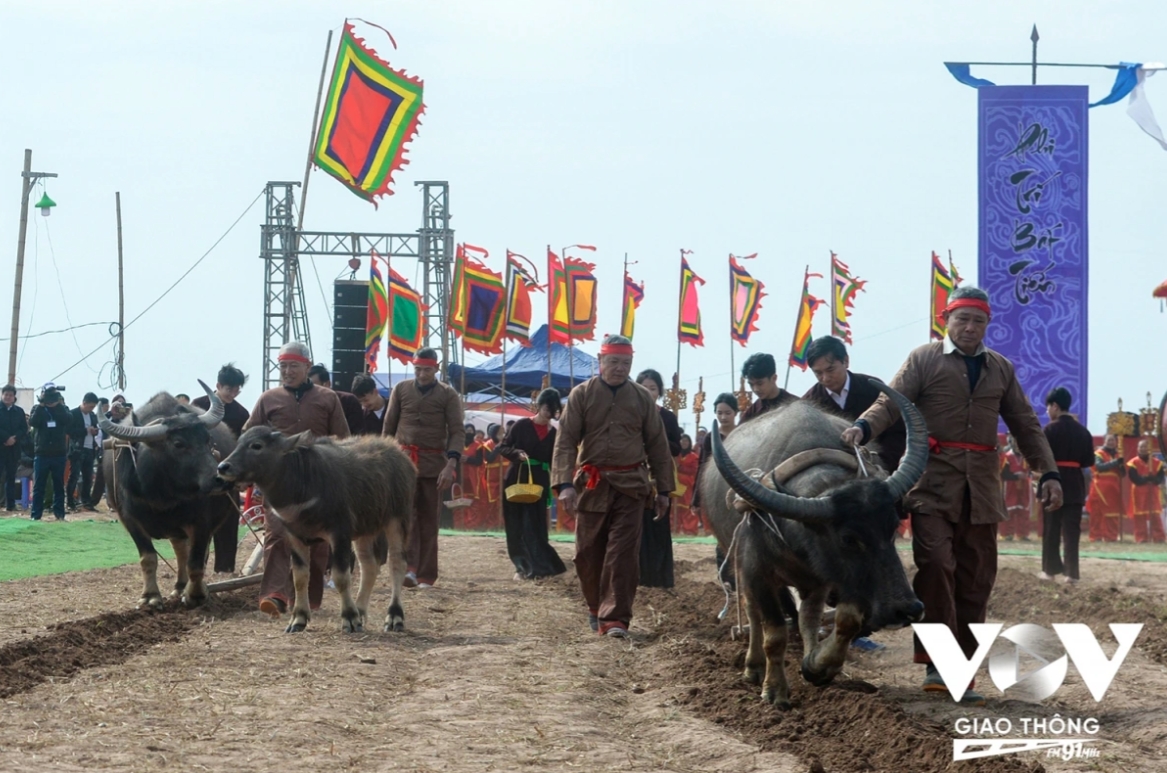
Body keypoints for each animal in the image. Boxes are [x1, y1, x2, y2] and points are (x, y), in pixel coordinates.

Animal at [101, 380, 238, 611]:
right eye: (178, 444)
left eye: (208, 439)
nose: (219, 479)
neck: (162, 494)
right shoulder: (129, 520)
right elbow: (148, 558)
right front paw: (150, 597)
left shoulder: (202, 522)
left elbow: (196, 561)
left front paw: (196, 595)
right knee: (180, 550)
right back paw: (180, 586)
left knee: (192, 554)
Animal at [217, 429, 417, 635]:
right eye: (239, 442)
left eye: (256, 445)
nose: (223, 467)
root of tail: (400, 453)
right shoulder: (294, 536)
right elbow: (299, 577)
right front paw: (298, 619)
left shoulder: (340, 534)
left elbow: (341, 576)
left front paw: (349, 618)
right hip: (365, 531)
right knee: (369, 566)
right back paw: (360, 612)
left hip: (398, 520)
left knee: (397, 564)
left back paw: (394, 617)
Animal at [700, 380, 928, 709]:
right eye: (848, 538)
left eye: (893, 528)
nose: (907, 610)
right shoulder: (757, 572)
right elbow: (774, 632)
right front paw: (775, 690)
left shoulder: (830, 576)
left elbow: (843, 620)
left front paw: (818, 665)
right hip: (740, 567)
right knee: (754, 615)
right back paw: (753, 668)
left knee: (807, 618)